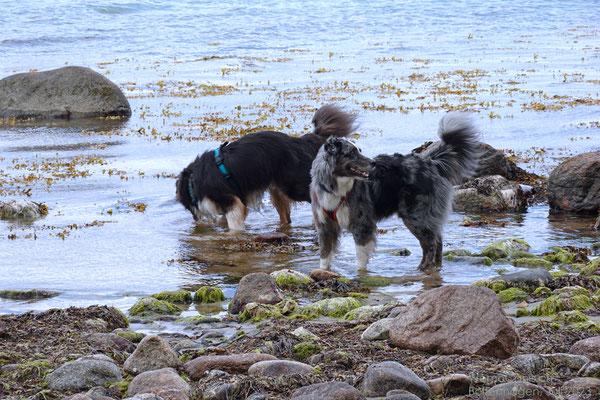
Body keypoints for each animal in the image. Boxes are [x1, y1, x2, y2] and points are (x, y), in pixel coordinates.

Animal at [177, 104, 356, 231]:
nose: (195, 221)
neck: (192, 182)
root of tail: (298, 141)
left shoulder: (230, 200)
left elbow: (233, 224)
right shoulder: (238, 200)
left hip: (292, 185)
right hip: (277, 190)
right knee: (286, 217)